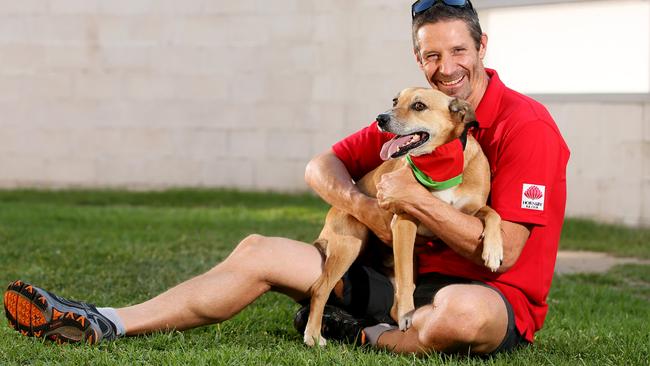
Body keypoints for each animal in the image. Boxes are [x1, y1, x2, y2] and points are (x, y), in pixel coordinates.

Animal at [302, 88, 502, 346]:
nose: (380, 118)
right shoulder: (404, 222)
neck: (441, 164)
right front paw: (408, 313)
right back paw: (313, 335)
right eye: (395, 101)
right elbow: (406, 279)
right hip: (350, 244)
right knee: (320, 289)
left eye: (419, 106)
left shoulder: (471, 211)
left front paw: (494, 252)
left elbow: (494, 214)